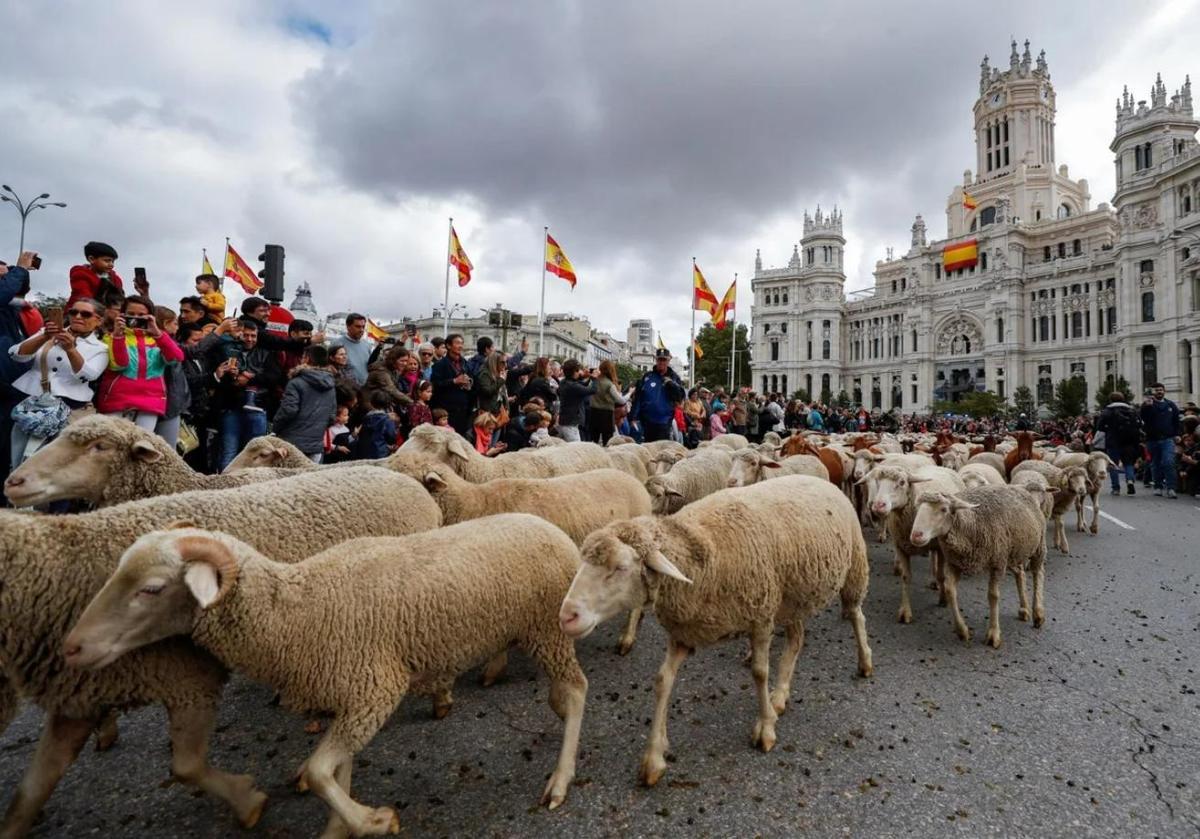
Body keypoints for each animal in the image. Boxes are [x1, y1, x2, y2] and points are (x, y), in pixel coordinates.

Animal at [0, 467, 441, 836]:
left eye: (152, 589)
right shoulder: (80, 698)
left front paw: (247, 799)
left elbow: (186, 766)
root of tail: (402, 478)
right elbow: (32, 788)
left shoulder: (188, 679)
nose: (74, 647)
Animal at [63, 516, 588, 834]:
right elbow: (338, 768)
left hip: (548, 629)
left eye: (152, 589)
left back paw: (559, 781)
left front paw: (372, 821)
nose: (73, 647)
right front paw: (342, 824)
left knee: (578, 692)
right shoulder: (350, 692)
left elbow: (318, 772)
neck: (297, 609)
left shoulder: (376, 688)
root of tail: (551, 528)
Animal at [558, 476, 872, 786]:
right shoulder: (684, 633)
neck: (702, 553)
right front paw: (654, 758)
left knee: (856, 616)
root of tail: (820, 478)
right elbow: (662, 681)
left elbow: (760, 673)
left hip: (853, 567)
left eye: (621, 567)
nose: (566, 616)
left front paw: (765, 729)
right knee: (796, 640)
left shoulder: (761, 615)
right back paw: (780, 695)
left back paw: (865, 662)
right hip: (793, 597)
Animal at [863, 463, 965, 623]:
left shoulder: (940, 547)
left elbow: (942, 575)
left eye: (902, 482)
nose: (878, 506)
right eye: (878, 482)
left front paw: (943, 599)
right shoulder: (901, 546)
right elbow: (905, 578)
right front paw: (905, 612)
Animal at [909, 486, 1047, 648]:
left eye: (943, 509)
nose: (916, 535)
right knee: (1020, 574)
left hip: (1038, 545)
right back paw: (1024, 609)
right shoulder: (955, 563)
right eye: (918, 508)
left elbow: (993, 596)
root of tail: (1022, 489)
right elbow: (950, 591)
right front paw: (962, 631)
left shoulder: (997, 563)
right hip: (1014, 551)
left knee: (1038, 573)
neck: (971, 524)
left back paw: (1038, 614)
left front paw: (993, 634)